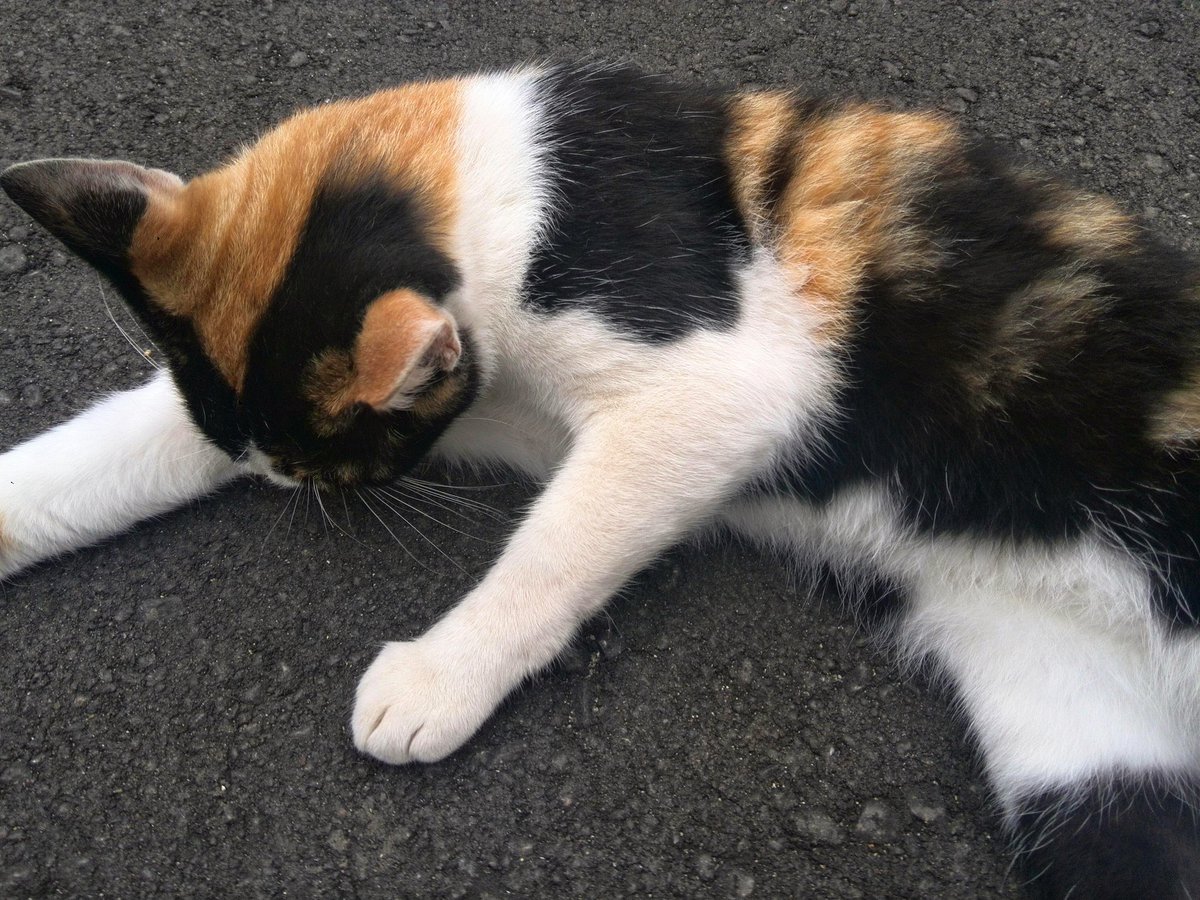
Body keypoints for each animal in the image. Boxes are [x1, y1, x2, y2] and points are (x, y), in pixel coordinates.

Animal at [2, 64, 1199, 898]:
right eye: (284, 467)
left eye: (359, 466)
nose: (301, 489)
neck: (517, 195)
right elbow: (104, 453)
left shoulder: (722, 380)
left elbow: (557, 550)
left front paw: (435, 679)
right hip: (1085, 756)